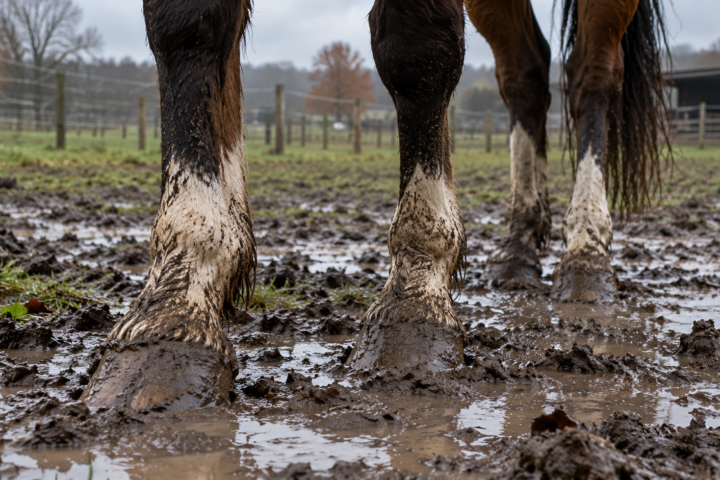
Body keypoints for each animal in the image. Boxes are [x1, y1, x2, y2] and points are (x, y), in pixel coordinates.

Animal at [81, 0, 670, 412]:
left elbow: (417, 46)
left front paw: (414, 300)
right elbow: (188, 27)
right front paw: (172, 314)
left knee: (592, 74)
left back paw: (586, 253)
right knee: (525, 74)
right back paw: (520, 245)